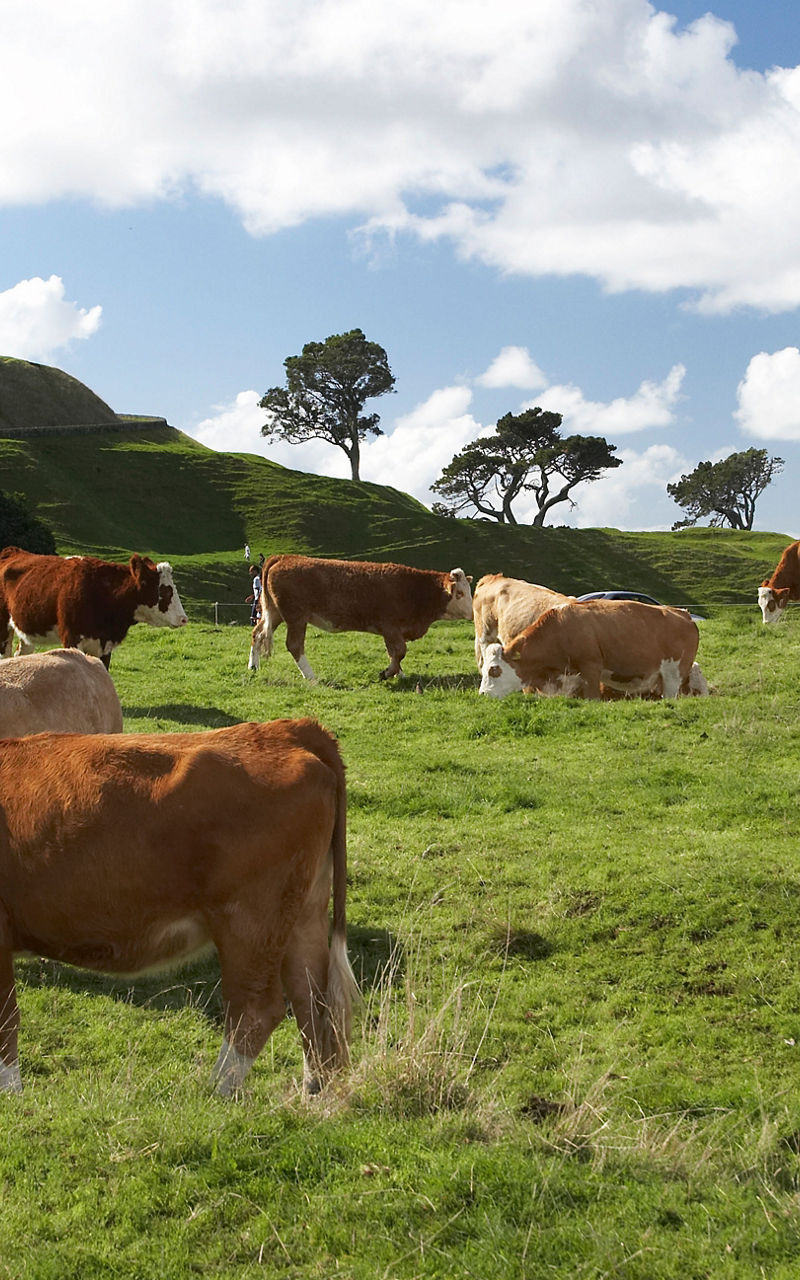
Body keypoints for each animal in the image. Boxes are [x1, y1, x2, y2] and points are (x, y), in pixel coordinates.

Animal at [0, 718, 358, 1097]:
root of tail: (286, 729)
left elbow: (5, 1018)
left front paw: (11, 1096)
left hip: (250, 919)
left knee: (257, 1009)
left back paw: (215, 1092)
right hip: (303, 914)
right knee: (311, 999)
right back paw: (313, 1092)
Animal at [248, 554, 473, 682]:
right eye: (460, 593)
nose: (473, 613)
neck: (413, 589)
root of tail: (284, 557)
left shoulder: (391, 632)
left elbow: (393, 653)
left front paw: (398, 673)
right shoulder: (391, 627)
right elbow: (399, 652)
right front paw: (387, 673)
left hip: (274, 613)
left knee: (257, 634)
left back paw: (253, 666)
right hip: (296, 618)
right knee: (294, 645)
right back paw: (311, 676)